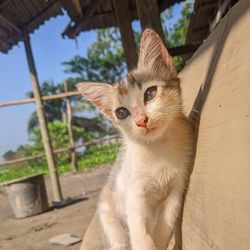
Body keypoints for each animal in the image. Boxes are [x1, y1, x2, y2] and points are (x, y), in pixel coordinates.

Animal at [77, 28, 194, 250]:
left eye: (150, 93)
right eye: (121, 113)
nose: (141, 121)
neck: (158, 148)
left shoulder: (176, 187)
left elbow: (166, 224)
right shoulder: (134, 196)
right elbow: (140, 234)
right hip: (110, 215)